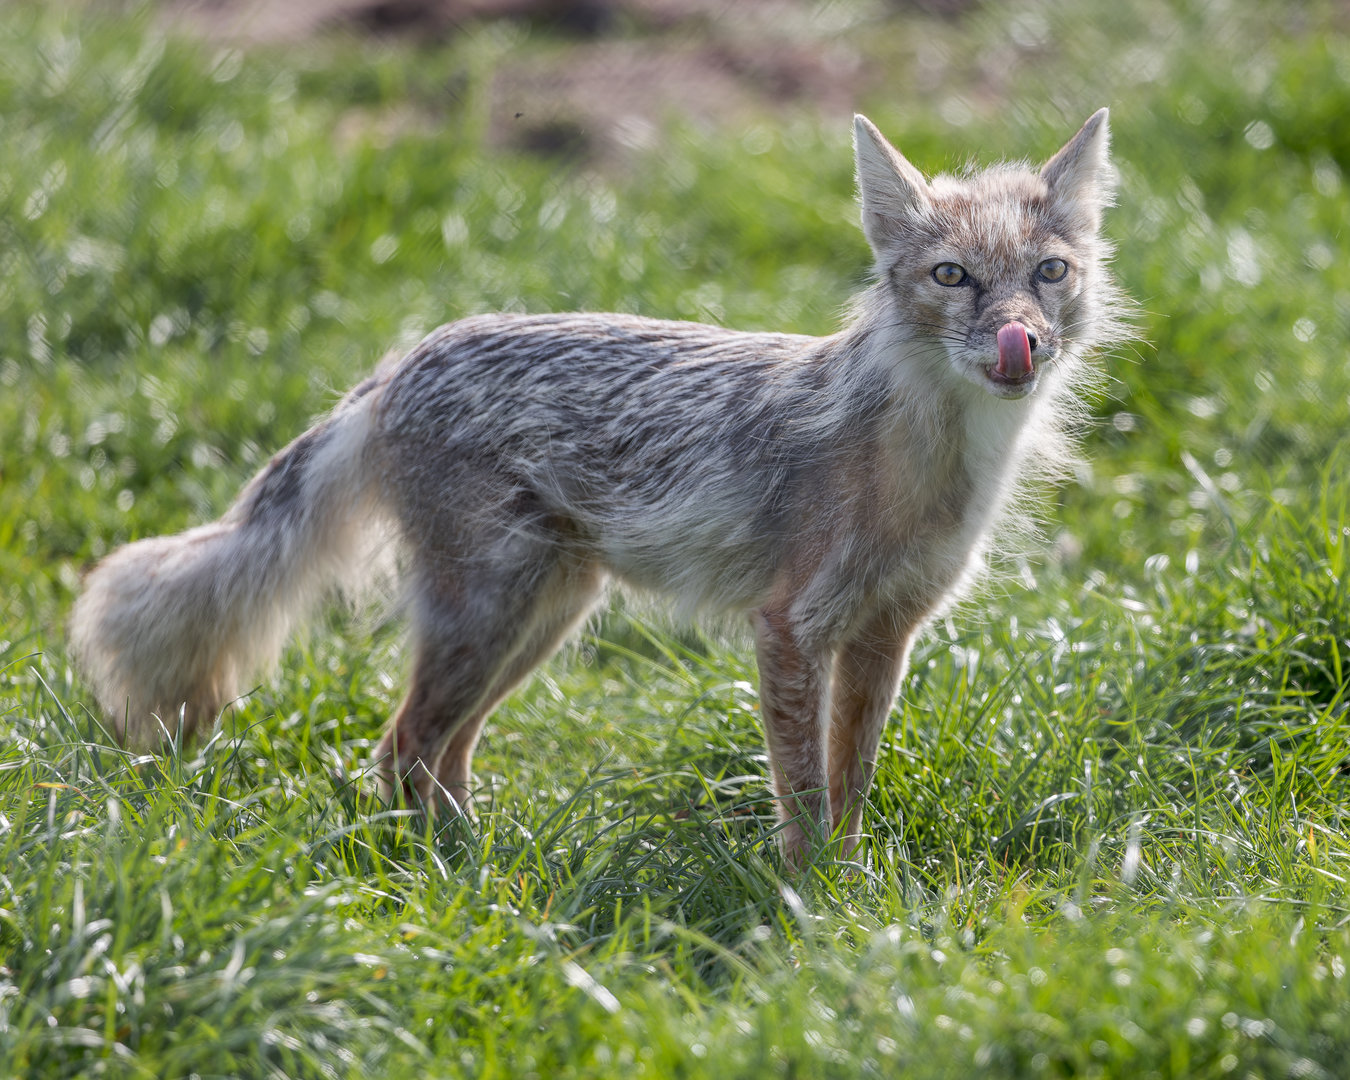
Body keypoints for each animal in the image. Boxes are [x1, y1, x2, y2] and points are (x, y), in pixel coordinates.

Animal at [70, 110, 1126, 864]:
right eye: (952, 276)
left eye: (1049, 272)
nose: (1021, 343)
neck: (927, 472)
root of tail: (400, 362)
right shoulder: (791, 629)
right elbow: (801, 789)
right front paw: (807, 897)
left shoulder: (884, 634)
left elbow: (851, 782)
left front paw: (857, 884)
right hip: (491, 616)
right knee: (400, 749)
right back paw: (452, 874)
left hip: (544, 616)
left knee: (442, 756)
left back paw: (479, 856)